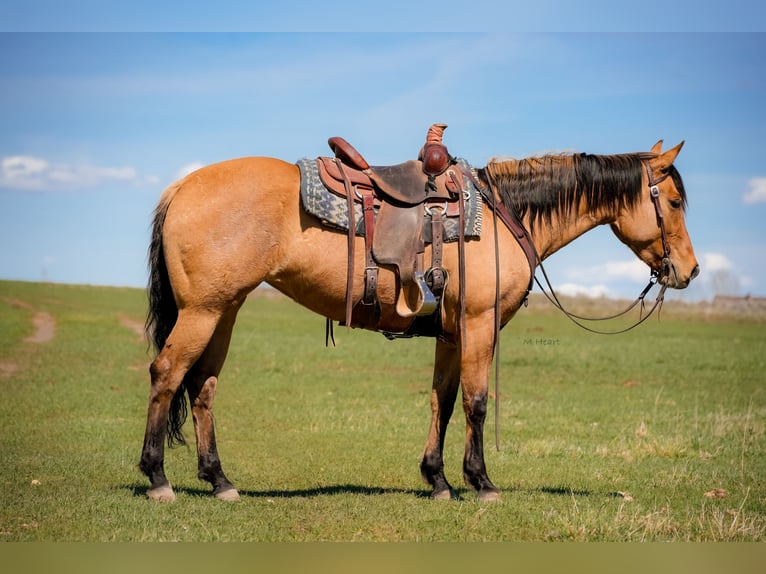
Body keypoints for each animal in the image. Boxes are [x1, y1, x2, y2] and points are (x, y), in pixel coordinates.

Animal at [140, 138, 699, 502]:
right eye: (673, 202)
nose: (689, 270)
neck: (504, 216)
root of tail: (182, 185)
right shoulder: (477, 325)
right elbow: (476, 402)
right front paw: (482, 483)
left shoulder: (450, 334)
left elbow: (442, 402)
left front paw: (438, 481)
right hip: (203, 311)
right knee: (167, 375)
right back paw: (158, 478)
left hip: (225, 310)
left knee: (203, 386)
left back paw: (220, 481)